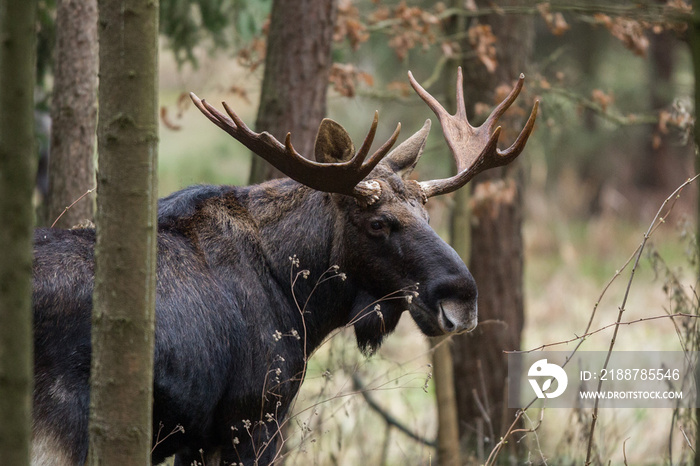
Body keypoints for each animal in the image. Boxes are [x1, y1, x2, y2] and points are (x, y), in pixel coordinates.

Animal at [31, 67, 536, 464]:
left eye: (428, 216)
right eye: (377, 223)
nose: (463, 301)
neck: (304, 304)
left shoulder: (195, 438)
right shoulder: (254, 420)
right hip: (58, 431)